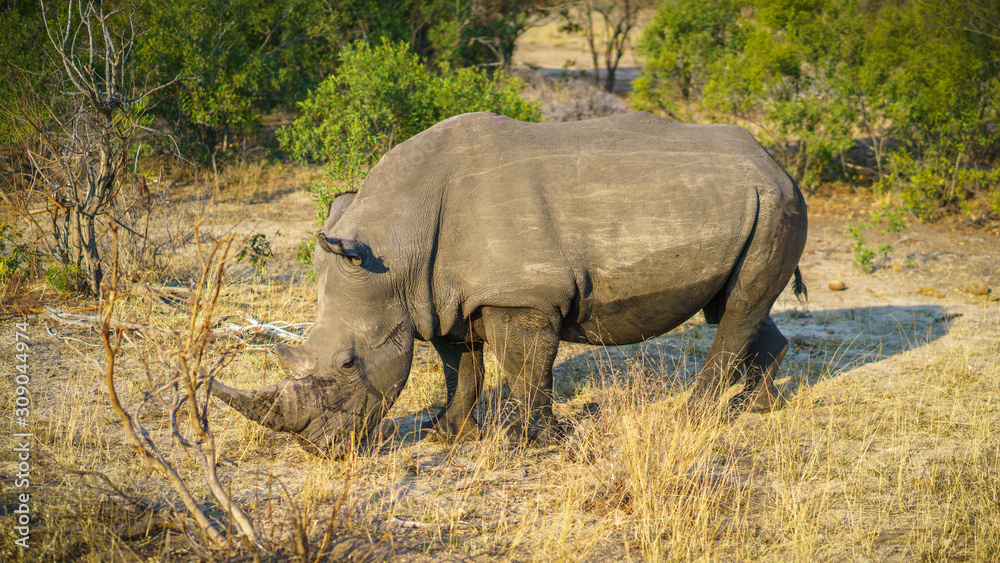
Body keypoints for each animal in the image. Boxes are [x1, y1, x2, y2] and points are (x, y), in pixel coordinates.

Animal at [212, 112, 808, 455]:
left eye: (348, 364)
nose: (319, 448)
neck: (399, 247)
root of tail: (775, 161)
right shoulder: (443, 299)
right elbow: (462, 371)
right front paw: (445, 433)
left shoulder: (521, 296)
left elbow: (525, 372)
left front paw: (533, 443)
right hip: (756, 203)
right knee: (736, 304)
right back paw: (756, 408)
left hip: (776, 203)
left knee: (738, 307)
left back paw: (694, 415)